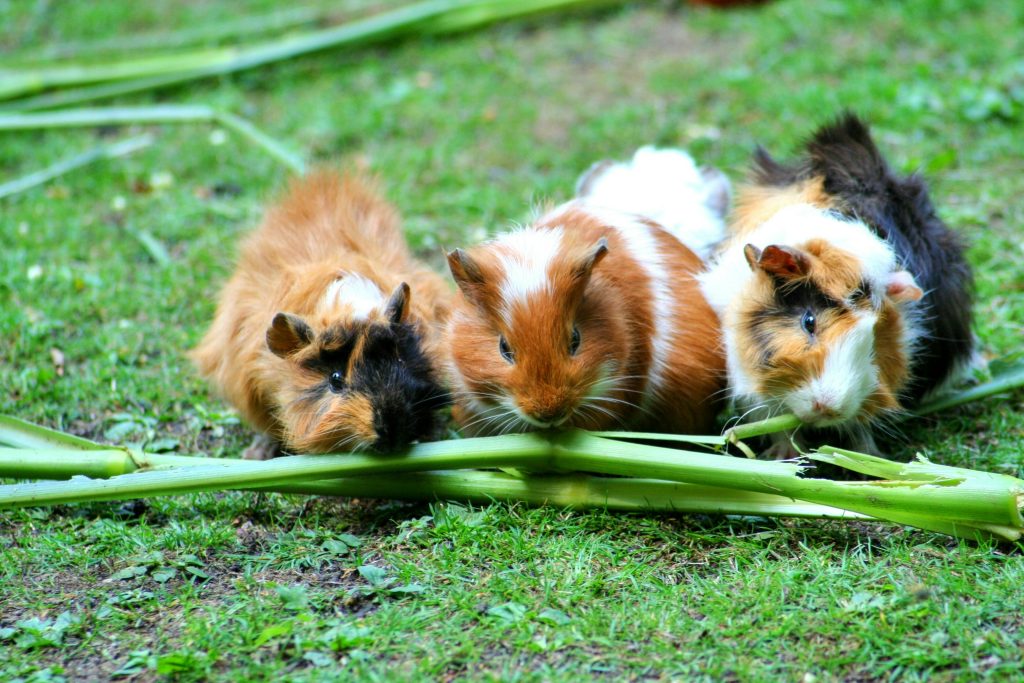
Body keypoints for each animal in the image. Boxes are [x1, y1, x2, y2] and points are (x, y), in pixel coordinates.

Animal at [699, 113, 974, 454]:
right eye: (809, 321)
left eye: (876, 335)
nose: (828, 408)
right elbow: (775, 422)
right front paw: (784, 456)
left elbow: (861, 426)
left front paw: (866, 457)